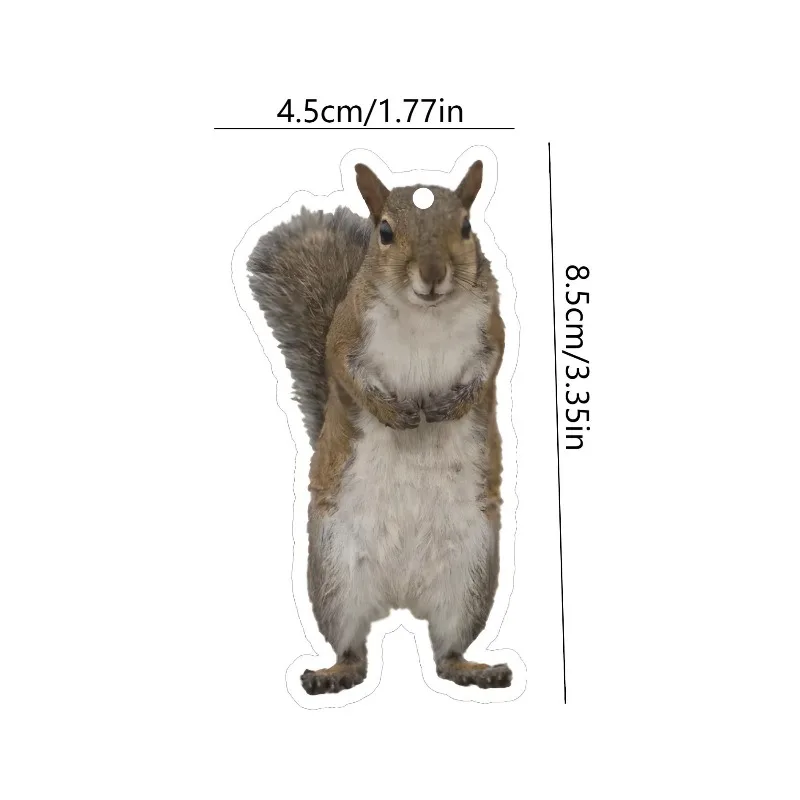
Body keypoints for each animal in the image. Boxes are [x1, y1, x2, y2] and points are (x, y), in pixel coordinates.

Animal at [247, 160, 510, 694]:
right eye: (384, 232)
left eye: (466, 227)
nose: (432, 275)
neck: (425, 314)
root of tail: (402, 595)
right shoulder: (348, 331)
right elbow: (344, 370)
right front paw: (393, 413)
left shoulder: (492, 326)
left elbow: (490, 365)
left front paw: (452, 404)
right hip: (335, 575)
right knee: (353, 647)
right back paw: (333, 674)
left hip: (470, 574)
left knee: (447, 651)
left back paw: (475, 669)